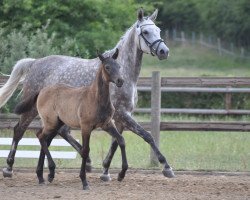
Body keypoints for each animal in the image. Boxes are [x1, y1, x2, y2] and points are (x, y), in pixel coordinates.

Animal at [0, 8, 175, 180]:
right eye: (145, 32)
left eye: (158, 30)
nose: (164, 51)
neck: (124, 74)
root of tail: (35, 62)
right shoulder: (121, 114)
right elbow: (147, 135)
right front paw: (166, 167)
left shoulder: (121, 116)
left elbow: (116, 141)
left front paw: (105, 171)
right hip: (31, 110)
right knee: (19, 130)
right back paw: (9, 168)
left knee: (56, 134)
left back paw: (82, 163)